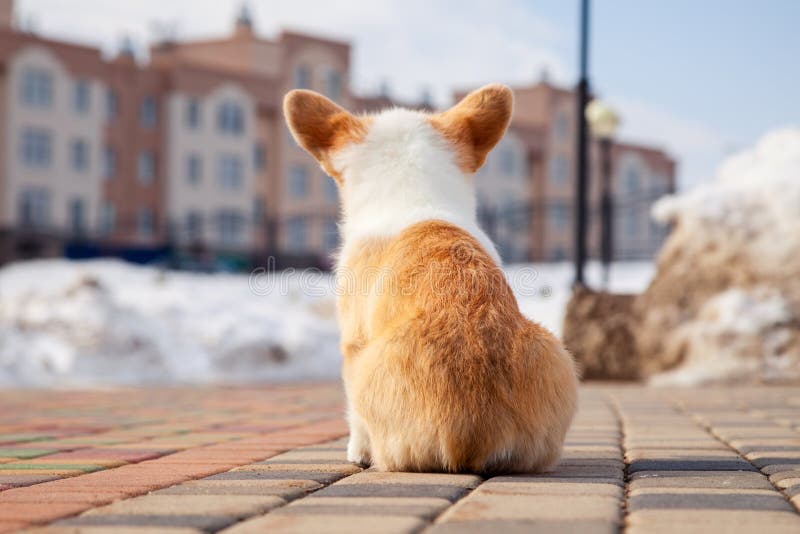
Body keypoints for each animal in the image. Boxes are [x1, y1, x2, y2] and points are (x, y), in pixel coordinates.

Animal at [284, 82, 580, 474]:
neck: (411, 193)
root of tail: (475, 431)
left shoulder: (353, 342)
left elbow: (353, 416)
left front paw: (356, 452)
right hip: (555, 351)